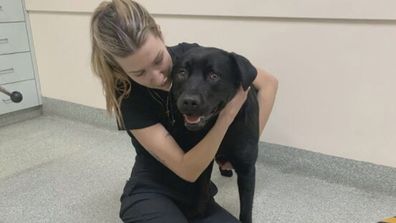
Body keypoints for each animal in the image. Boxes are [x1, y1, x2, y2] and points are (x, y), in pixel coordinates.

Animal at [170, 46, 260, 222]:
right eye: (182, 72)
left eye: (214, 76)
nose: (189, 102)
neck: (223, 126)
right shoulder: (203, 160)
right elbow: (202, 191)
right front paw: (199, 214)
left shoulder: (246, 169)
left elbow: (246, 208)